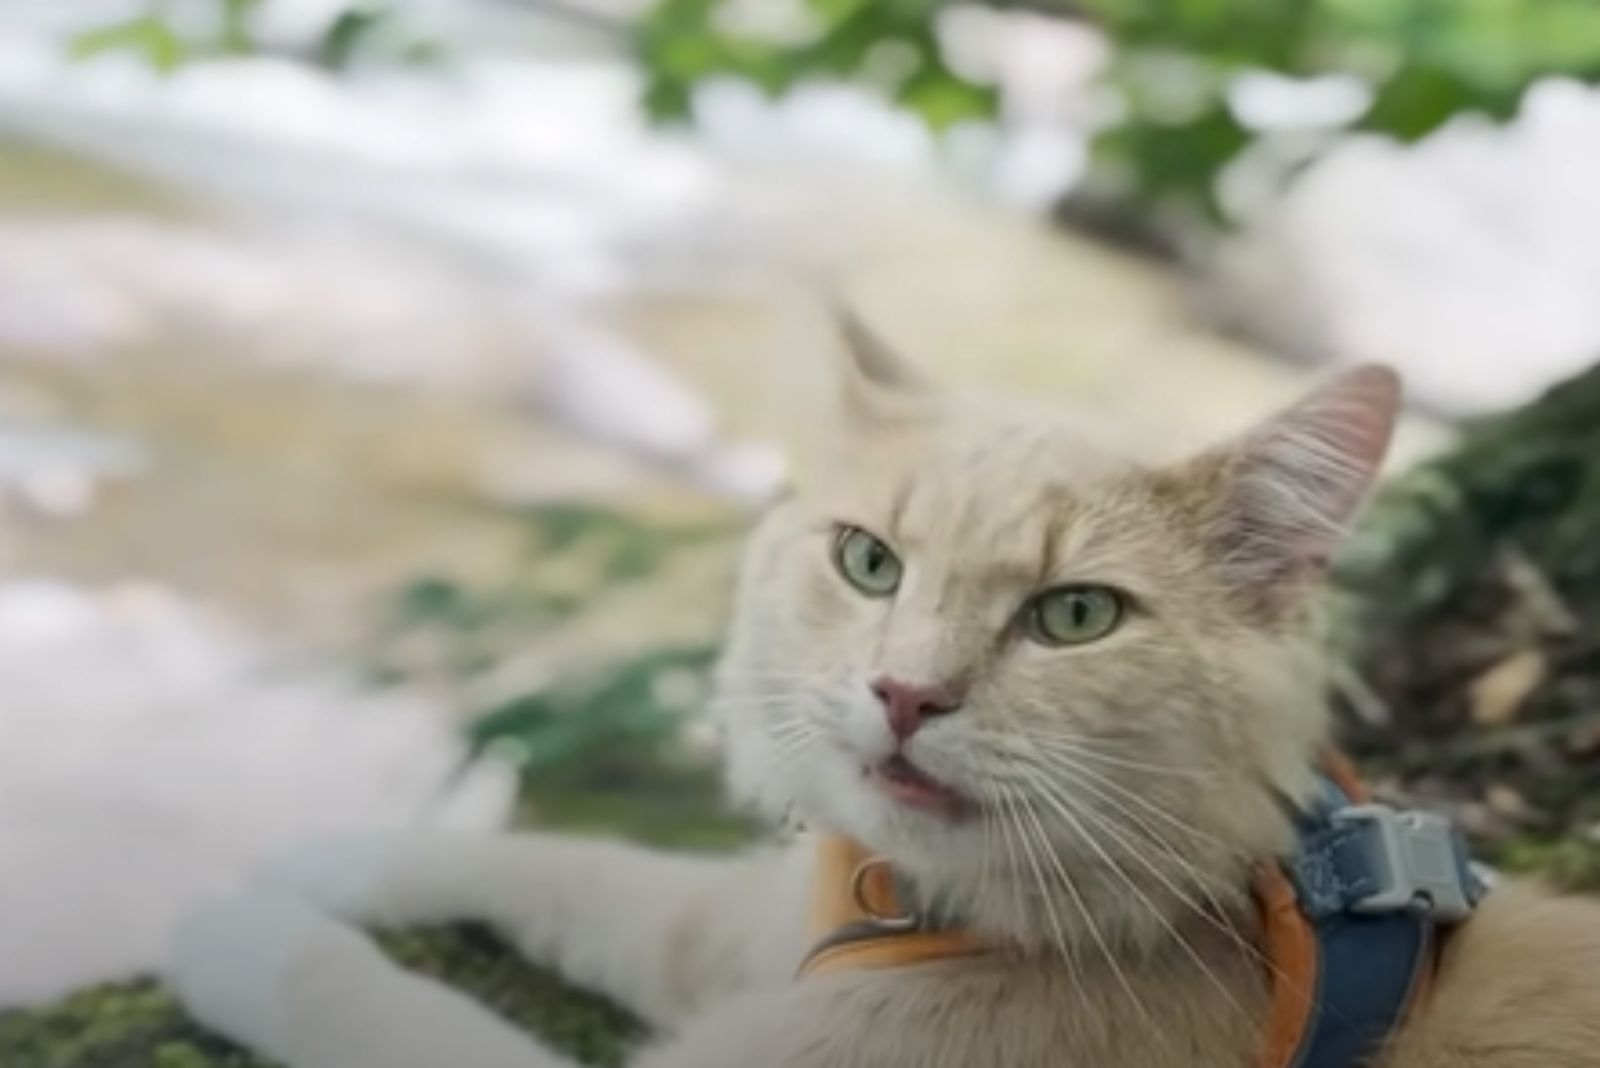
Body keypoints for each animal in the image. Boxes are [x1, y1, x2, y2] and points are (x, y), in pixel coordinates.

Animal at [168, 316, 1600, 1068]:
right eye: (869, 562)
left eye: (1074, 616)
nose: (907, 693)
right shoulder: (754, 936)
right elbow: (591, 873)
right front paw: (340, 860)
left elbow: (371, 1007)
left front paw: (237, 937)